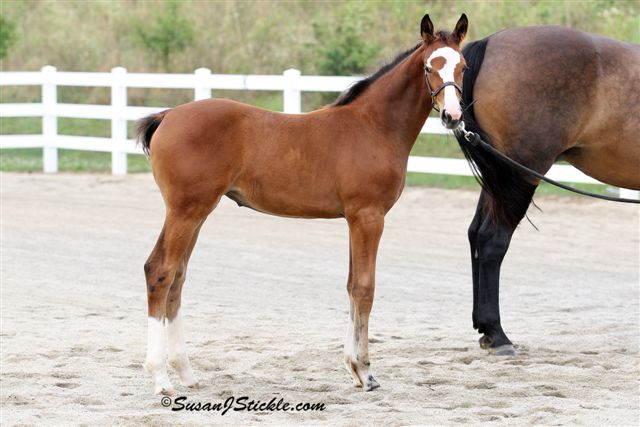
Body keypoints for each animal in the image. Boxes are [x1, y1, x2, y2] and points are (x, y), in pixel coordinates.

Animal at [137, 14, 469, 395]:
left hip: (197, 212)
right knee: (160, 272)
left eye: (463, 66)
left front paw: (353, 368)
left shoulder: (354, 219)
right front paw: (366, 371)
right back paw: (161, 378)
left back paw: (187, 373)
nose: (453, 115)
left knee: (177, 276)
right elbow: (364, 288)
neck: (374, 127)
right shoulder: (368, 216)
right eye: (430, 66)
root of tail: (168, 115)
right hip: (185, 211)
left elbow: (352, 285)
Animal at [454, 26, 640, 356]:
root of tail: (491, 42)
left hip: (500, 176)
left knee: (475, 234)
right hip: (520, 174)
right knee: (492, 240)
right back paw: (497, 334)